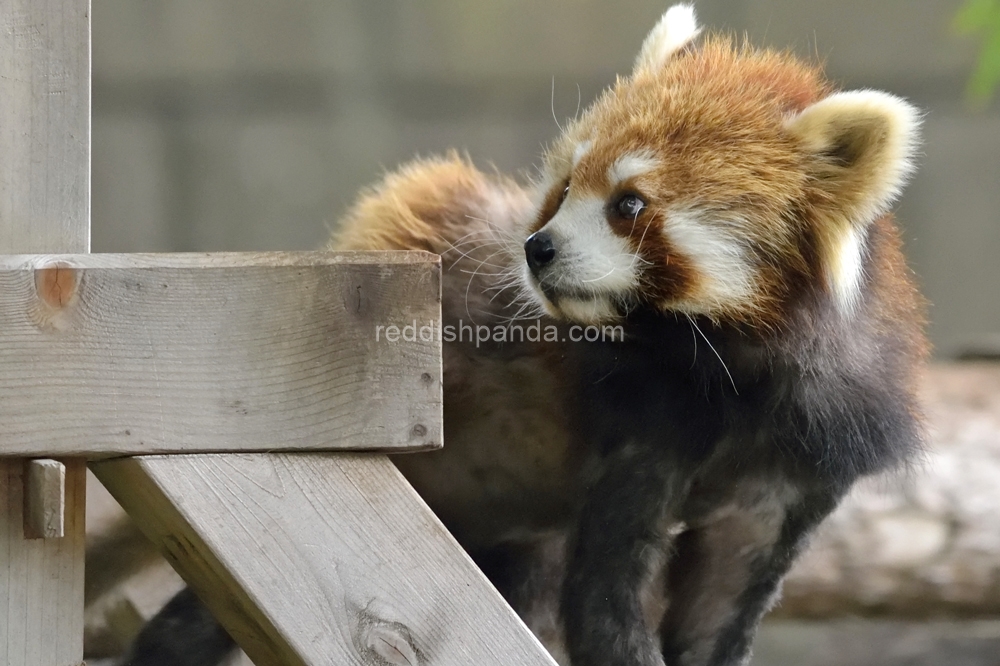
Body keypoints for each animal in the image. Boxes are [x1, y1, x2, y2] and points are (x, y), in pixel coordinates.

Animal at [105, 5, 924, 664]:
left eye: (629, 204)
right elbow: (607, 589)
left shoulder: (803, 459)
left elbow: (721, 601)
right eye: (563, 190)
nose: (538, 249)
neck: (735, 374)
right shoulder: (643, 421)